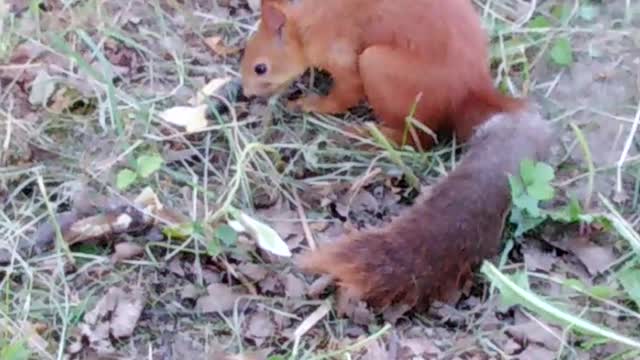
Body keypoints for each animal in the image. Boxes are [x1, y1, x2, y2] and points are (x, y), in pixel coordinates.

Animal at [238, 0, 552, 310]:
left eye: (260, 68)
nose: (244, 93)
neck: (307, 23)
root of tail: (471, 91)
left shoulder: (338, 51)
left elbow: (346, 93)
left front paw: (311, 103)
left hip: (378, 66)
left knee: (416, 139)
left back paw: (366, 136)